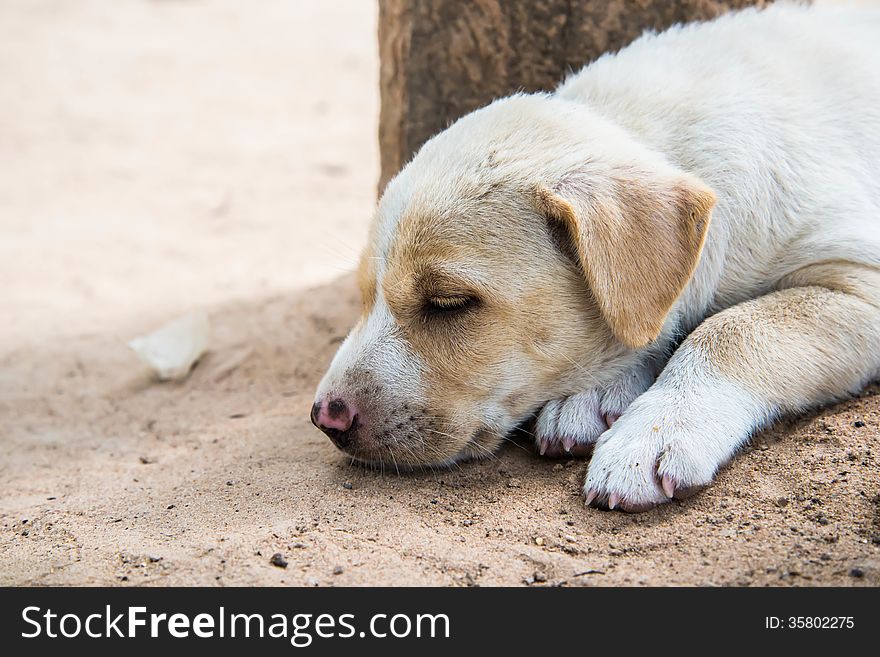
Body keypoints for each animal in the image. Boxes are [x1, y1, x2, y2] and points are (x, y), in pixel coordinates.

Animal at [312, 2, 880, 510]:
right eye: (364, 297)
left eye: (449, 303)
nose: (325, 417)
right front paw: (594, 393)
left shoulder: (858, 277)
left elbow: (731, 329)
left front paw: (654, 431)